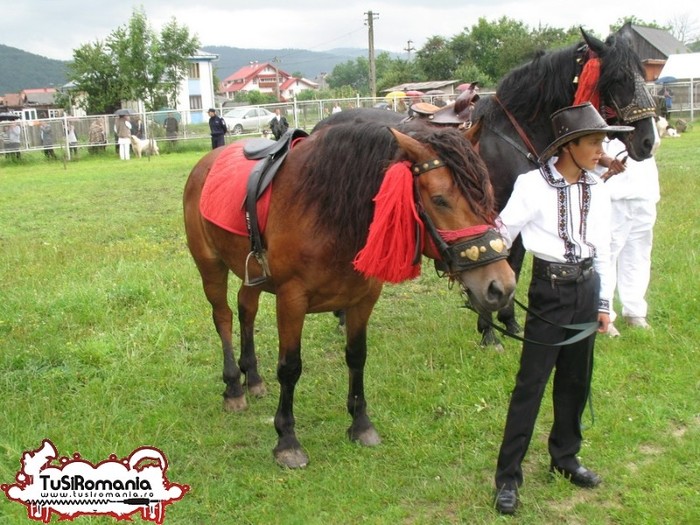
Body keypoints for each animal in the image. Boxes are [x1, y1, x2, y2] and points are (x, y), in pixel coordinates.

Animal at [183, 119, 516, 466]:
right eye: (439, 200)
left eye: (487, 195)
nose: (501, 285)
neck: (328, 214)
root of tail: (208, 160)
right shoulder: (291, 299)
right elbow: (290, 367)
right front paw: (287, 439)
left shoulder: (363, 298)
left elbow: (357, 356)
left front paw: (360, 424)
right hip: (210, 266)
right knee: (223, 317)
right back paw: (234, 385)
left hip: (254, 275)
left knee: (246, 309)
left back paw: (254, 377)